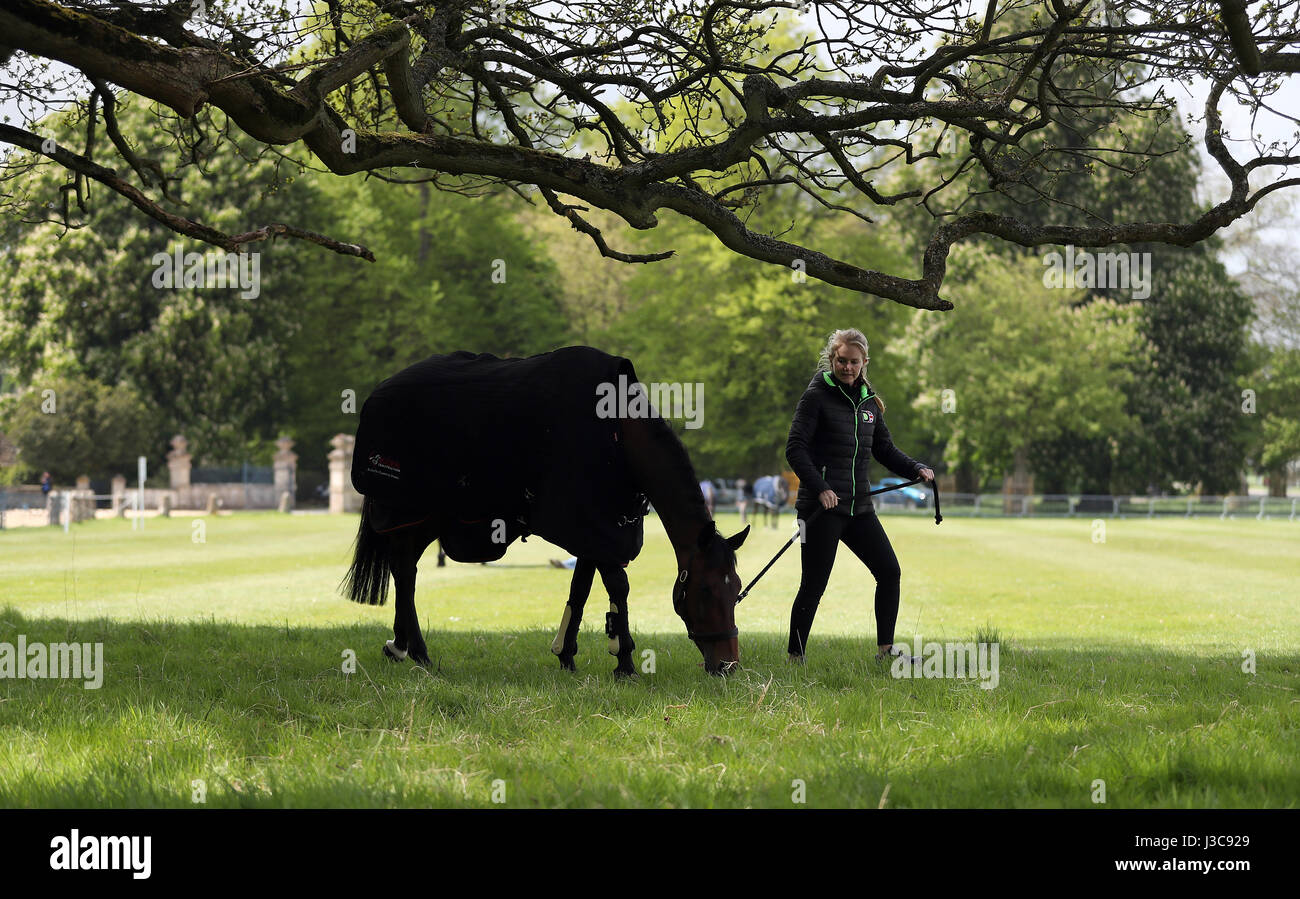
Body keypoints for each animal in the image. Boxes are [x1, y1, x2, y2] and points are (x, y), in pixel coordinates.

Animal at [343, 348, 754, 675]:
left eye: (736, 589)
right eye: (705, 590)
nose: (728, 664)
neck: (619, 436)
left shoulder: (595, 529)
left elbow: (581, 588)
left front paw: (566, 653)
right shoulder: (595, 527)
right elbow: (617, 587)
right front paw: (624, 661)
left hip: (428, 517)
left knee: (406, 570)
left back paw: (403, 647)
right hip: (408, 510)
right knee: (403, 571)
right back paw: (416, 651)